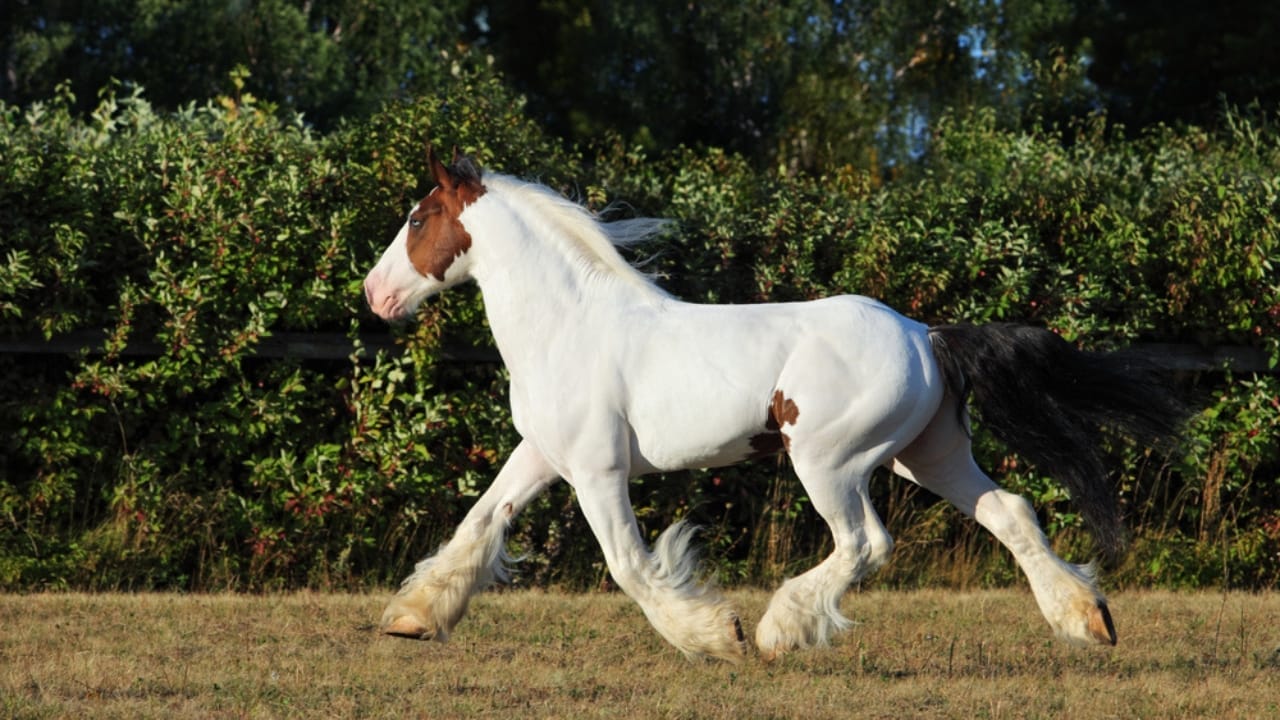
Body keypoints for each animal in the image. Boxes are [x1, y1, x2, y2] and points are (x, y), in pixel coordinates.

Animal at [362, 147, 1185, 662]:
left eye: (417, 219)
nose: (374, 295)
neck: (568, 326)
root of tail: (924, 333)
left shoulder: (597, 472)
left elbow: (629, 565)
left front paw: (714, 636)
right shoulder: (541, 454)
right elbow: (477, 526)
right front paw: (410, 619)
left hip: (830, 462)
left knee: (866, 544)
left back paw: (778, 632)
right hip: (928, 456)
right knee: (1010, 512)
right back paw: (1088, 621)